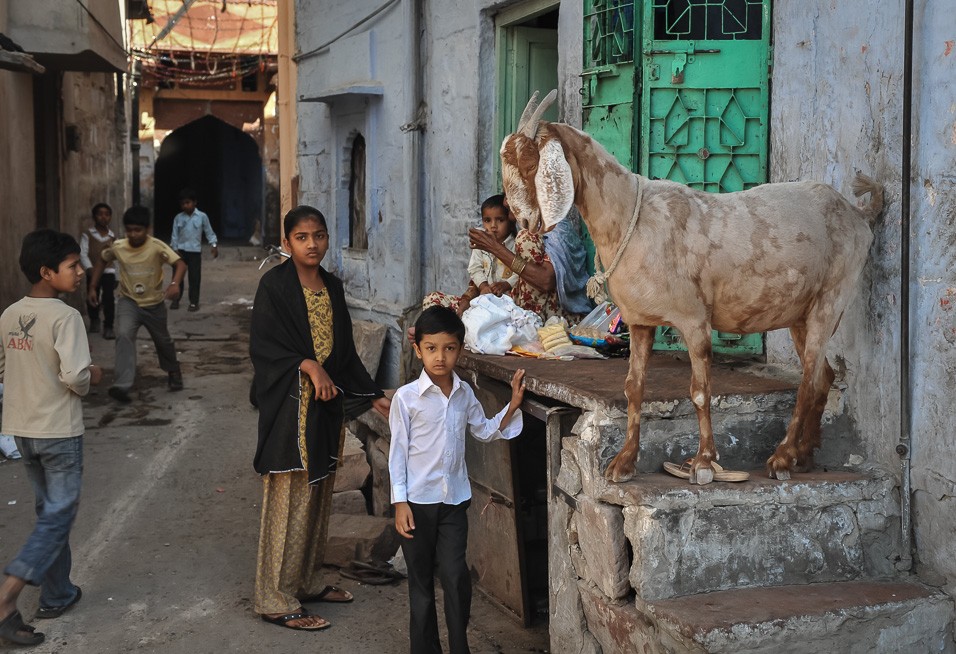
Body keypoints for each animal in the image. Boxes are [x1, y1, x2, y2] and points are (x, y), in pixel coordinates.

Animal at [504, 89, 884, 484]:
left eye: (530, 163)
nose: (525, 222)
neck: (631, 218)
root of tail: (858, 214)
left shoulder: (694, 318)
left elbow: (700, 391)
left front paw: (702, 463)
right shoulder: (639, 321)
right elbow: (633, 388)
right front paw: (624, 462)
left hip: (833, 295)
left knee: (808, 377)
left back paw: (781, 458)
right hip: (800, 312)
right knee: (823, 376)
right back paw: (803, 456)